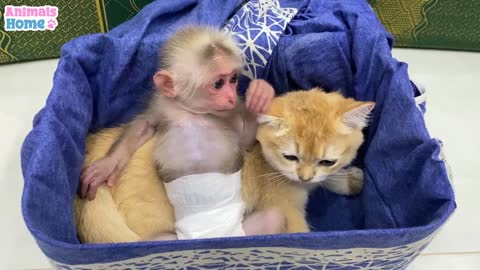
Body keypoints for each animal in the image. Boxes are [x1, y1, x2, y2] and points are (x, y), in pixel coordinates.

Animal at [78, 26, 282, 239]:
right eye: (219, 83)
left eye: (233, 79)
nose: (231, 96)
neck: (193, 112)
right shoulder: (162, 105)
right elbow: (143, 126)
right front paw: (107, 165)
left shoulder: (231, 112)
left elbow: (247, 140)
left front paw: (261, 94)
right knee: (158, 239)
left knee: (272, 219)